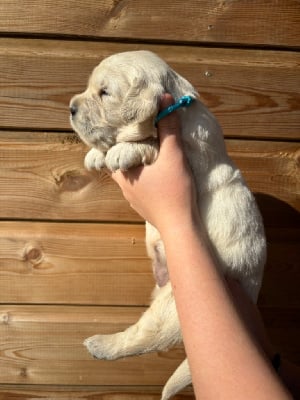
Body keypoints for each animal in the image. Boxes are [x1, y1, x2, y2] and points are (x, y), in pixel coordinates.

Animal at [69, 50, 266, 400]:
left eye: (105, 93)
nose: (71, 107)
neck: (175, 106)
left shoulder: (189, 155)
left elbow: (150, 143)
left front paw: (122, 150)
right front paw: (95, 155)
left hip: (172, 308)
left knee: (143, 338)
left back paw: (101, 345)